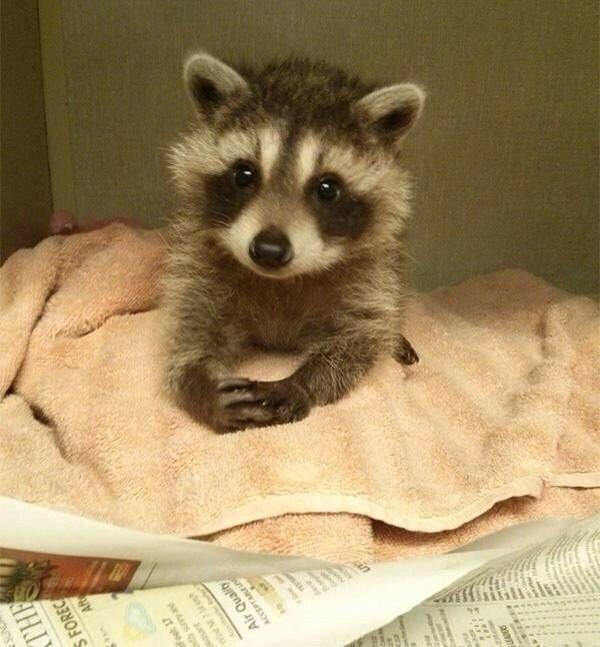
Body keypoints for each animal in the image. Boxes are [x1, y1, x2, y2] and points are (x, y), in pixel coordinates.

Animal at [163, 52, 424, 432]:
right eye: (244, 174)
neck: (281, 279)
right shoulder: (197, 261)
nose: (269, 251)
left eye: (327, 188)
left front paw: (303, 382)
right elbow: (191, 325)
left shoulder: (372, 274)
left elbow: (359, 337)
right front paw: (197, 380)